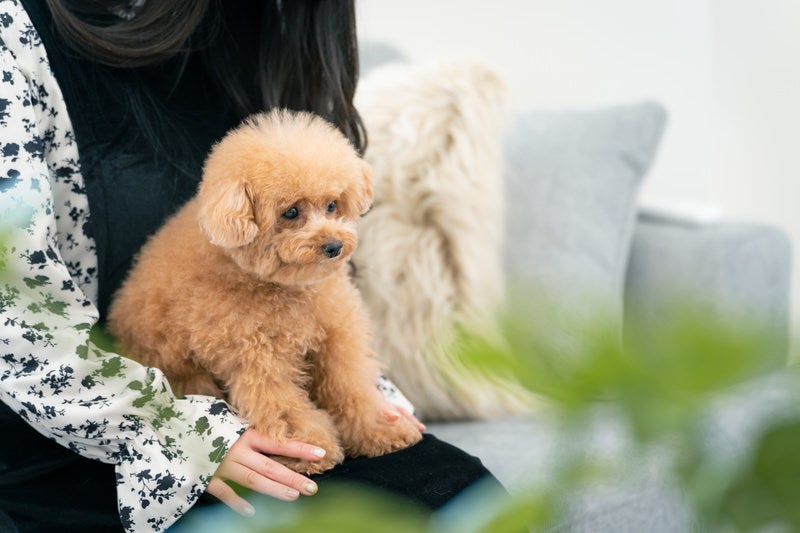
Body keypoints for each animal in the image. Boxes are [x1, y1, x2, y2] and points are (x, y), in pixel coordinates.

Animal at [107, 109, 424, 474]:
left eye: (332, 205)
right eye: (291, 212)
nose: (333, 246)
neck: (285, 288)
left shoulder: (336, 338)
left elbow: (352, 388)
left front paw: (382, 431)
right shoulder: (257, 357)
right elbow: (283, 407)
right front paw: (306, 451)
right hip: (188, 374)